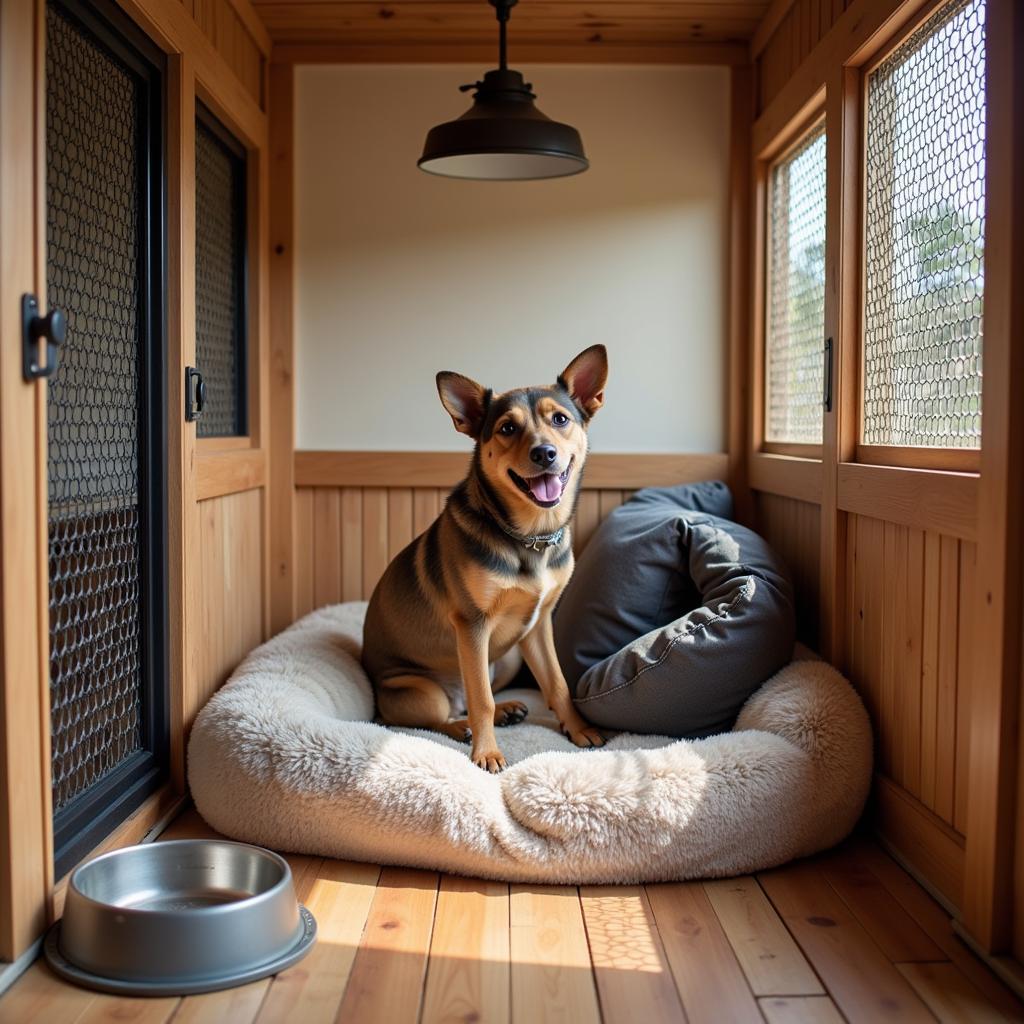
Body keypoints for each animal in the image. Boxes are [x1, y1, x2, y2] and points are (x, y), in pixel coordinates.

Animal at [362, 344, 606, 770]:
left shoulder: (538, 625)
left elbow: (557, 684)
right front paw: (487, 753)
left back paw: (509, 709)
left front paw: (578, 729)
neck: (531, 537)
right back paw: (464, 728)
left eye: (560, 419)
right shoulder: (473, 624)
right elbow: (482, 701)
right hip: (420, 690)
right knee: (442, 715)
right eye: (507, 428)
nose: (545, 453)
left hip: (507, 658)